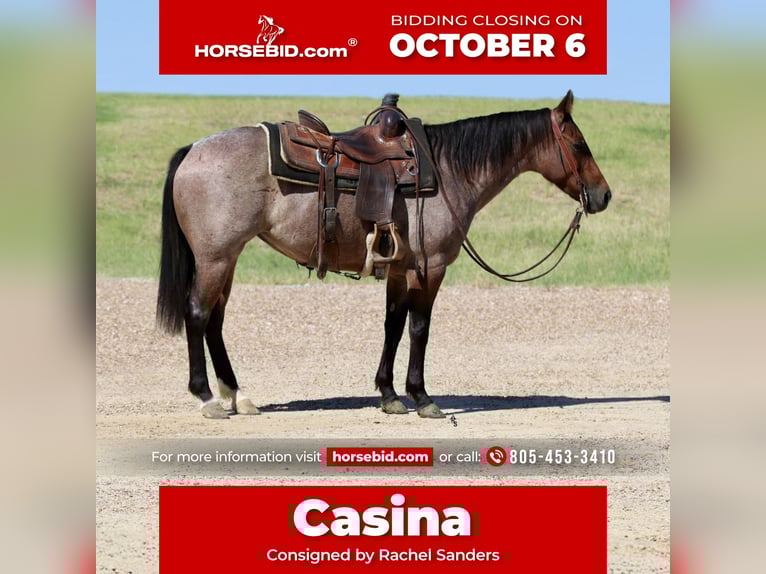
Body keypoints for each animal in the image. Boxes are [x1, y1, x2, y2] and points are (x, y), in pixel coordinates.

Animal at [156, 91, 612, 419]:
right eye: (578, 143)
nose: (603, 195)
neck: (446, 171)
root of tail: (192, 150)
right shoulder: (430, 268)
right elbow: (419, 329)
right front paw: (422, 397)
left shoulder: (399, 269)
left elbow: (393, 326)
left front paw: (389, 395)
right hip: (216, 258)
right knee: (197, 313)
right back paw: (207, 398)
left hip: (227, 259)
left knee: (215, 321)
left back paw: (237, 395)